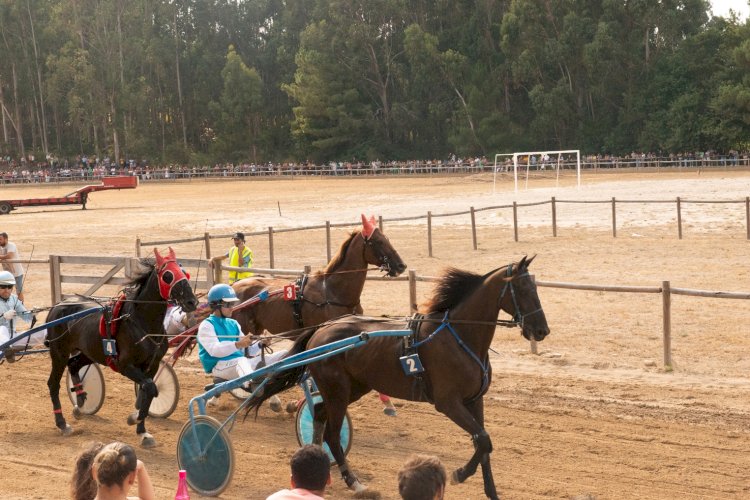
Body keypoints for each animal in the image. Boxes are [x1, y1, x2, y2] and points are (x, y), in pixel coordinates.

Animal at [45, 248, 198, 448]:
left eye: (184, 271)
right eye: (167, 275)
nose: (192, 301)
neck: (142, 323)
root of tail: (57, 305)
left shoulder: (153, 364)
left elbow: (149, 391)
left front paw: (142, 431)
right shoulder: (125, 365)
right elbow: (151, 388)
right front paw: (135, 418)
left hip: (90, 352)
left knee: (73, 365)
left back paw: (80, 400)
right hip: (59, 353)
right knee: (53, 383)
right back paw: (62, 423)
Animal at [247, 256, 552, 498]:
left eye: (535, 288)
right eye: (522, 289)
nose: (542, 330)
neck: (459, 336)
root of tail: (322, 329)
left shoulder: (475, 400)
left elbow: (484, 443)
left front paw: (491, 491)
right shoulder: (448, 402)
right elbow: (483, 439)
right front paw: (460, 473)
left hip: (354, 387)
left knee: (320, 415)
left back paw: (318, 466)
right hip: (338, 389)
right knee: (332, 433)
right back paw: (353, 482)